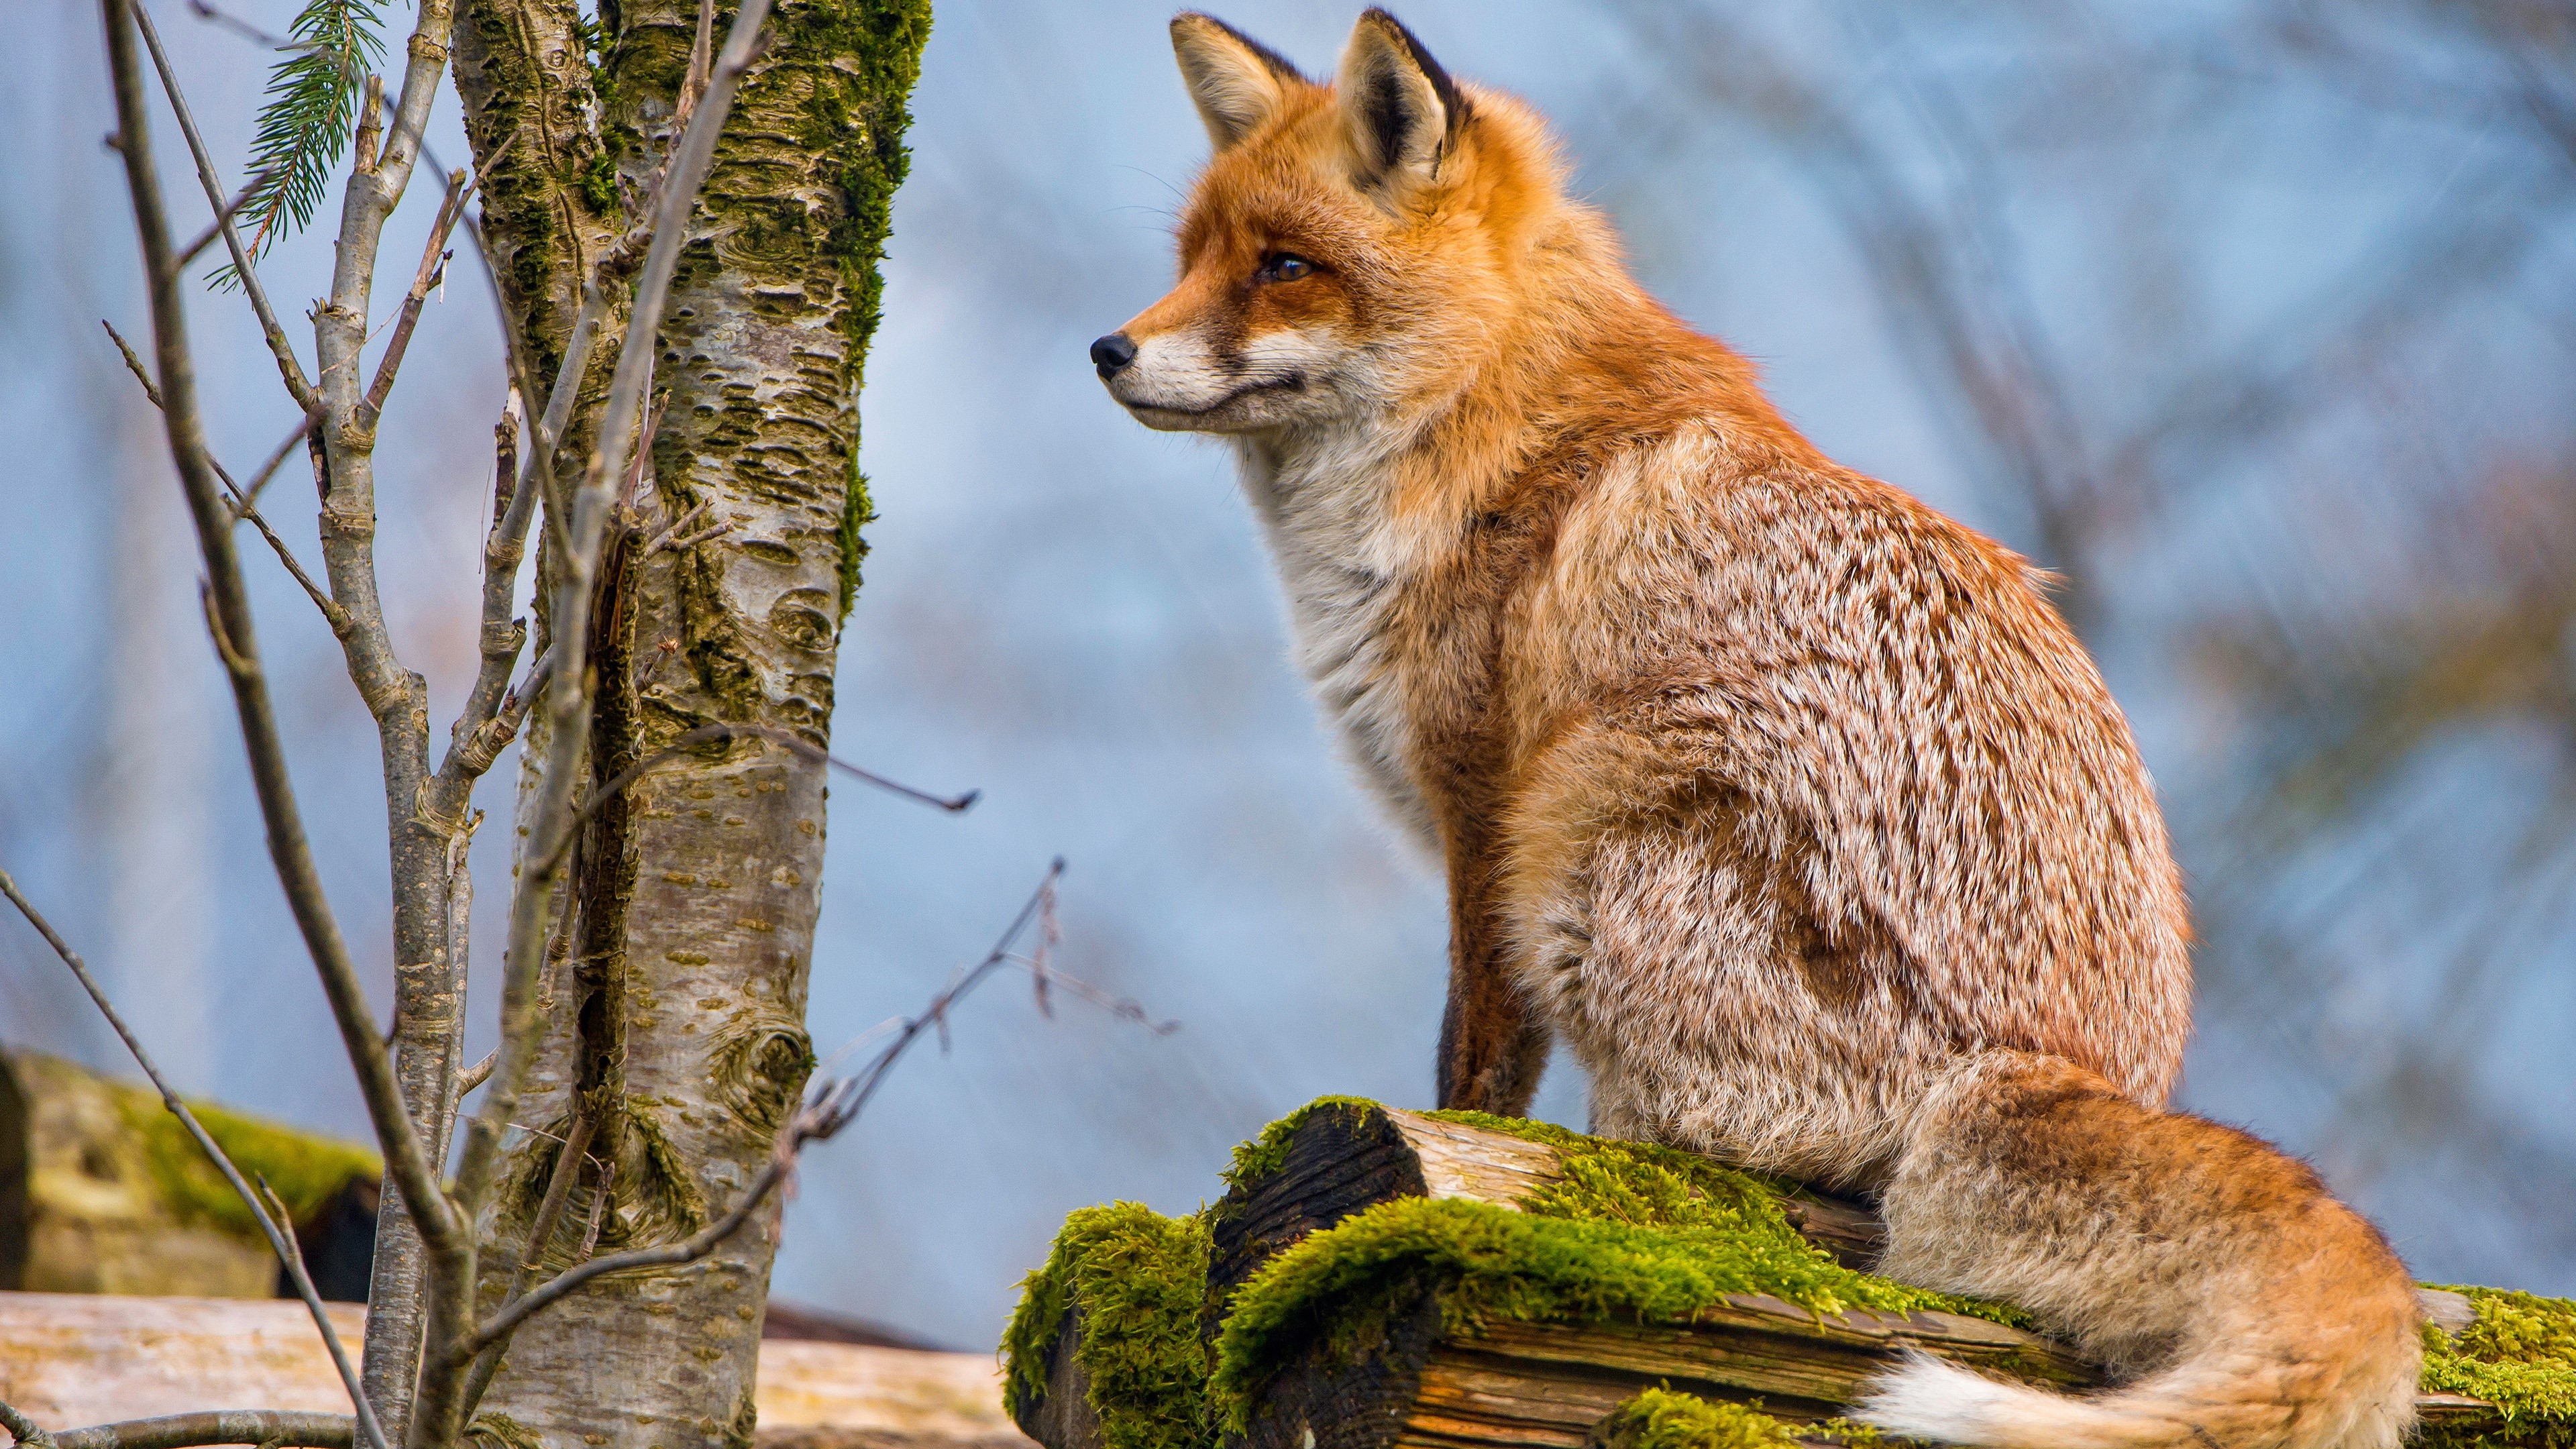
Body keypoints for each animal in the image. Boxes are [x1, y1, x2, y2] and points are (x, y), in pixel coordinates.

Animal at [1089, 9, 2424, 1449]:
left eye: (1284, 268)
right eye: (1189, 260)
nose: (1108, 350)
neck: (1481, 433)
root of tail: (2057, 1066)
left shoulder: (1484, 812)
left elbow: (1473, 1073)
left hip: (1591, 821)